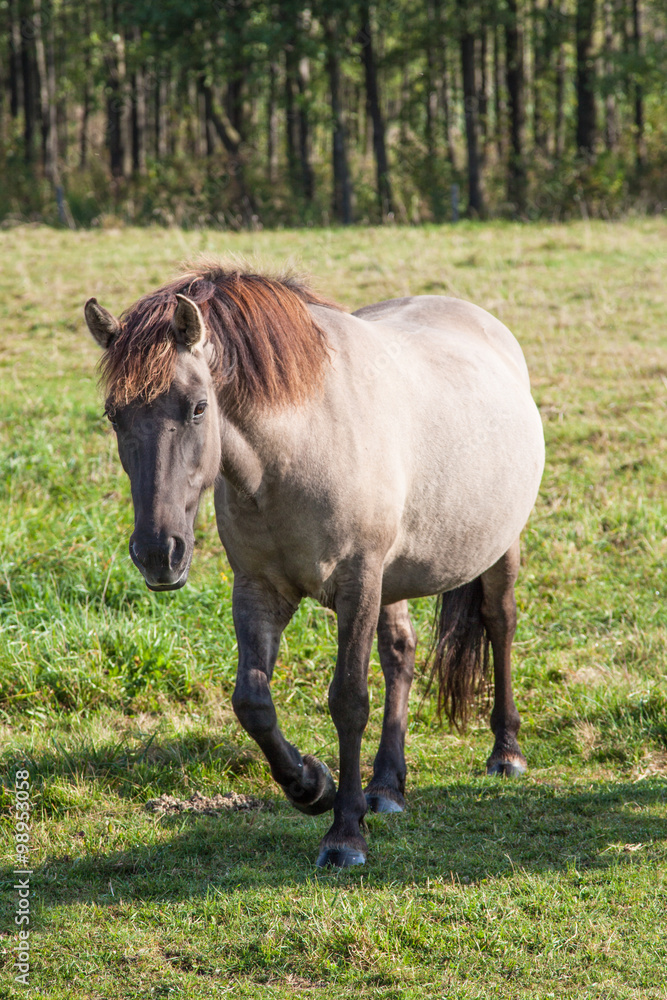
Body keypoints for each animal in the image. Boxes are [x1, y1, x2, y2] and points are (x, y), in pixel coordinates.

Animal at [83, 258, 544, 868]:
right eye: (114, 416)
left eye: (198, 407)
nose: (159, 554)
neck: (296, 449)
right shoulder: (258, 589)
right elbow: (252, 701)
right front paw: (312, 785)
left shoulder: (357, 582)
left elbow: (348, 700)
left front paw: (344, 834)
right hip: (392, 581)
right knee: (400, 654)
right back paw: (385, 785)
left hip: (497, 548)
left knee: (500, 624)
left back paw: (505, 752)